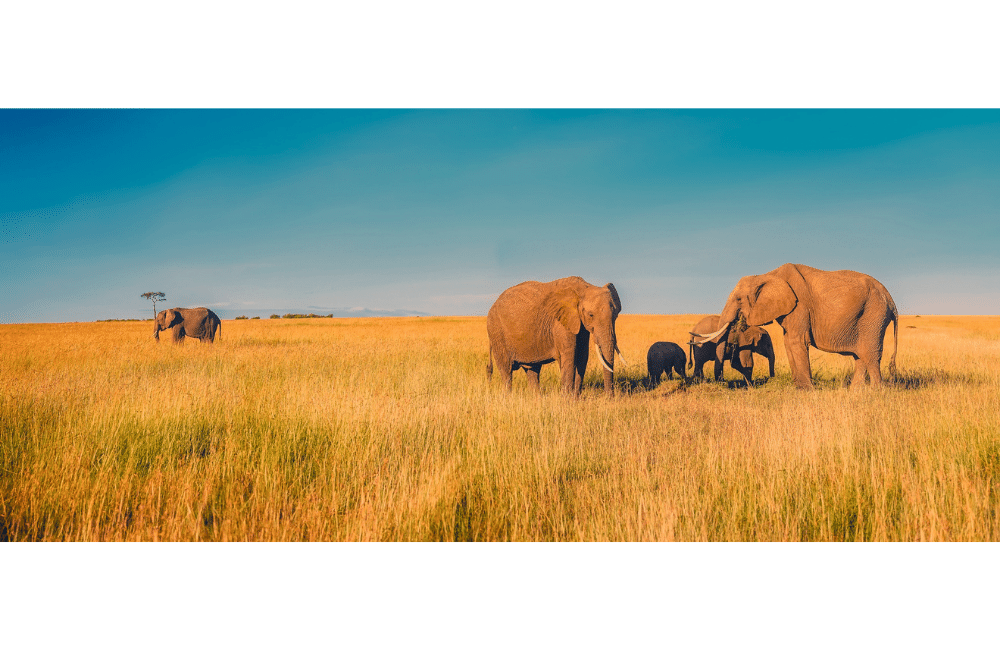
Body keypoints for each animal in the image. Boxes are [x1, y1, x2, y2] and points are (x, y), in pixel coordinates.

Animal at [486, 274, 624, 394]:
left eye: (616, 315)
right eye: (591, 315)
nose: (610, 398)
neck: (584, 288)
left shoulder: (579, 324)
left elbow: (582, 355)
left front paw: (575, 399)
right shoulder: (560, 323)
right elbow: (570, 356)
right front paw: (567, 400)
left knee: (532, 370)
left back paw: (537, 398)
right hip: (496, 332)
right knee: (506, 370)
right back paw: (508, 396)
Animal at [688, 264, 900, 390]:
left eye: (739, 299)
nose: (722, 382)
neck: (767, 275)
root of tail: (891, 300)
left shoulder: (800, 305)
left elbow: (797, 341)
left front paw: (806, 389)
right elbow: (788, 341)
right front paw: (797, 386)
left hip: (874, 314)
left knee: (870, 353)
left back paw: (876, 392)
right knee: (860, 355)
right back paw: (855, 391)